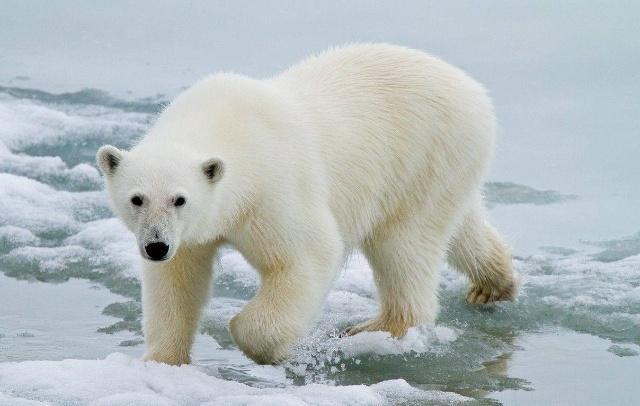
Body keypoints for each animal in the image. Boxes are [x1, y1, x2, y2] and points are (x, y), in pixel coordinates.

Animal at [99, 43, 520, 364]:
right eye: (136, 198)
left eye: (180, 199)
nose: (155, 246)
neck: (226, 125)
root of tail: (473, 89)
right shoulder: (191, 235)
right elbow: (177, 281)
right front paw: (163, 361)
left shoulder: (271, 189)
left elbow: (307, 255)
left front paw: (264, 346)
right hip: (443, 168)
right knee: (459, 225)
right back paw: (493, 284)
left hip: (424, 153)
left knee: (403, 244)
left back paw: (381, 326)